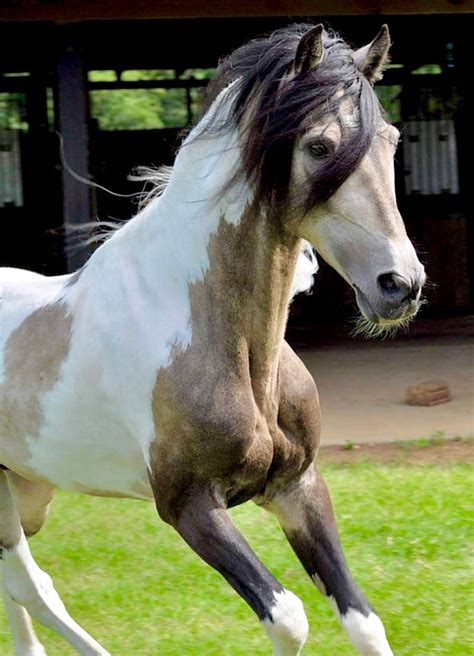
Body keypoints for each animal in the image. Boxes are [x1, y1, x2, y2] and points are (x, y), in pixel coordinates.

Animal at [0, 24, 426, 656]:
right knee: (33, 586)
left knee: (22, 585)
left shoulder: (298, 487)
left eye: (392, 141)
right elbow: (289, 617)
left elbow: (364, 622)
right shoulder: (190, 507)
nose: (400, 284)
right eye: (319, 147)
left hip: (27, 492)